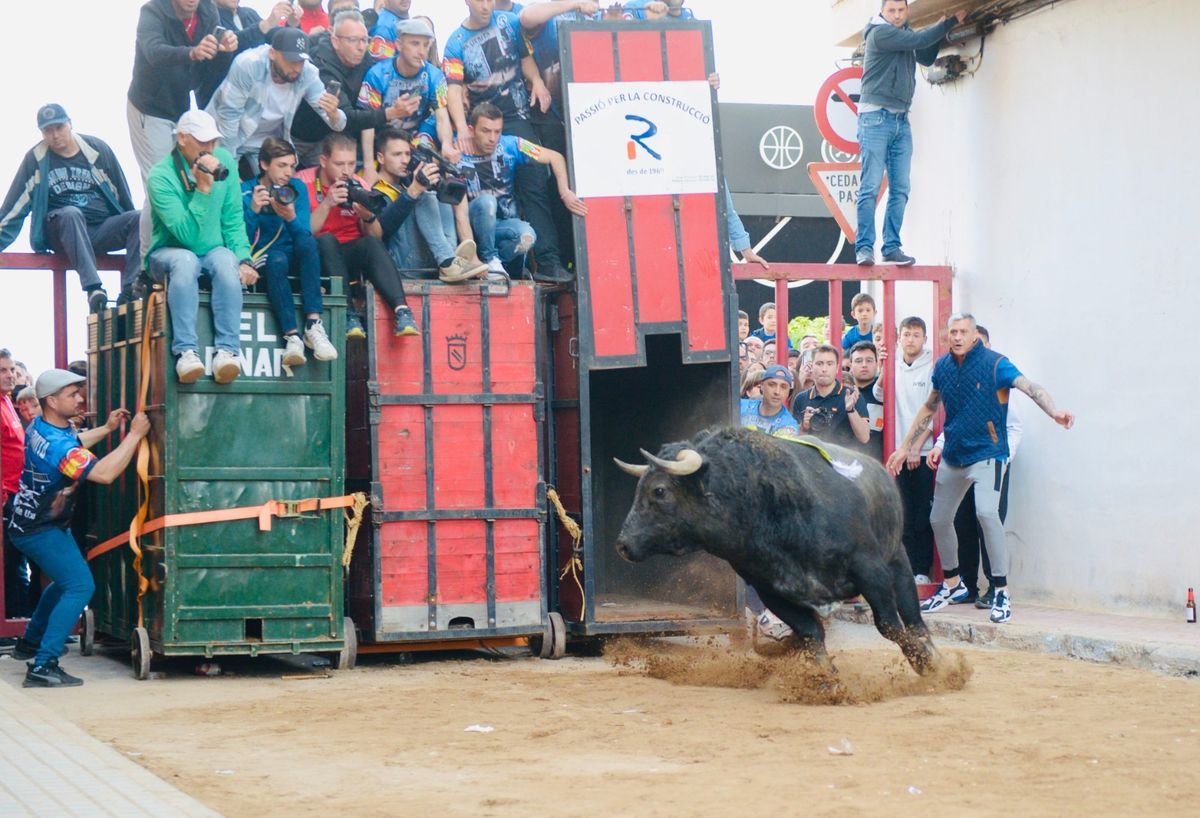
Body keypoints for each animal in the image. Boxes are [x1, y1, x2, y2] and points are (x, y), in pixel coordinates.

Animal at [614, 424, 940, 671]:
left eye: (659, 491)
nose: (622, 545)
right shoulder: (771, 591)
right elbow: (811, 633)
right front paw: (825, 678)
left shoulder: (870, 569)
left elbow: (888, 624)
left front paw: (926, 664)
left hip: (898, 559)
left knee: (913, 617)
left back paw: (934, 655)